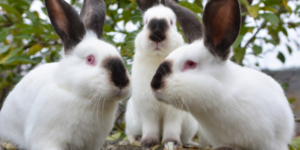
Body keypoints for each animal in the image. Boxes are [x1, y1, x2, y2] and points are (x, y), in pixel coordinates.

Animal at [125, 0, 198, 149]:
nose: (157, 35)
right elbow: (150, 127)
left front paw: (171, 143)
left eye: (171, 22)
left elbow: (171, 128)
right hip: (131, 120)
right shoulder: (148, 108)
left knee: (186, 137)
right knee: (130, 132)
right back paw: (136, 139)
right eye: (146, 22)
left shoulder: (174, 111)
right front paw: (148, 143)